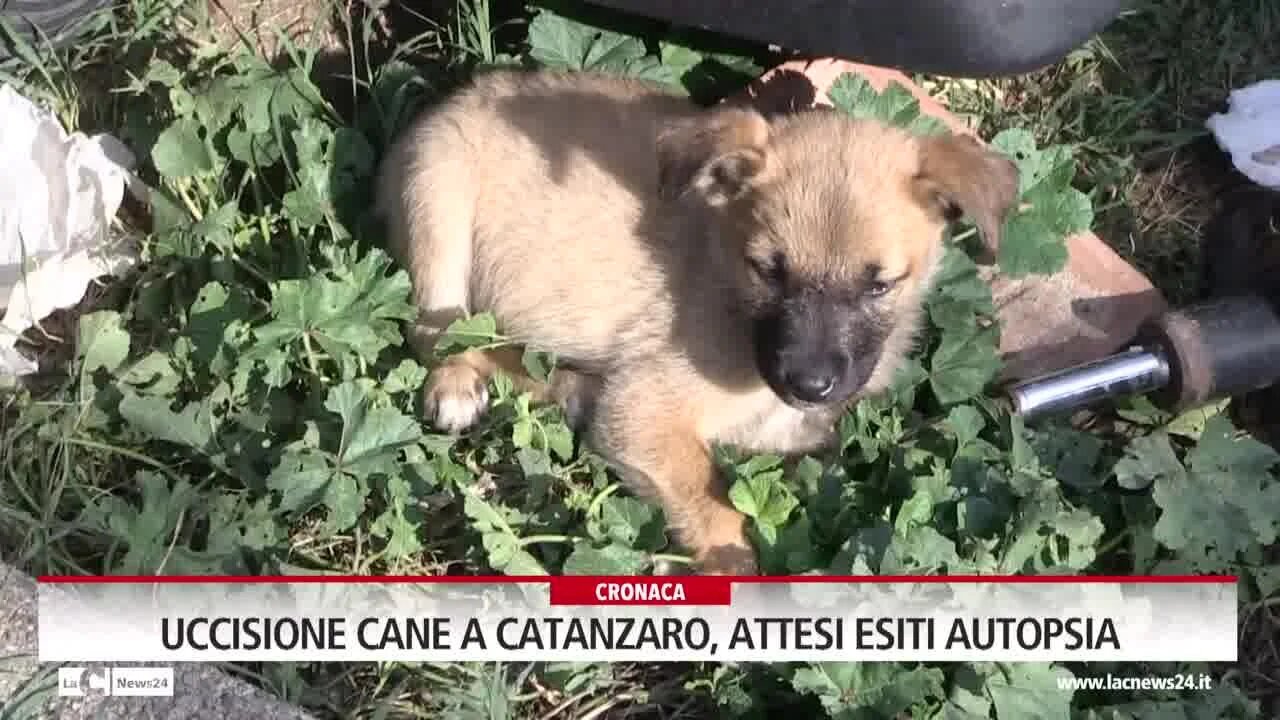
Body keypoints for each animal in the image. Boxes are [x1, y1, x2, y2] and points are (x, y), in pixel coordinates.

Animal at [373, 67, 1013, 571]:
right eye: (767, 270)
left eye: (880, 284)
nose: (808, 385)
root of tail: (461, 94)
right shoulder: (645, 412)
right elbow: (718, 509)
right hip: (438, 202)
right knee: (438, 330)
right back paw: (475, 383)